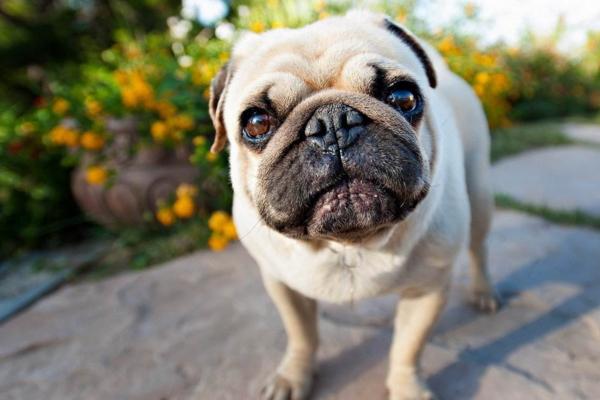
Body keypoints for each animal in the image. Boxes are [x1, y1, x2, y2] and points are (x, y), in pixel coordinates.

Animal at [209, 9, 500, 400]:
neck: (348, 244)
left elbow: (408, 349)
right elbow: (301, 335)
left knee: (479, 246)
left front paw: (407, 388)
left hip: (479, 191)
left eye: (404, 98)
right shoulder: (282, 285)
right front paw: (293, 377)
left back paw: (484, 292)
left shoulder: (427, 290)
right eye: (256, 123)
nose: (332, 122)